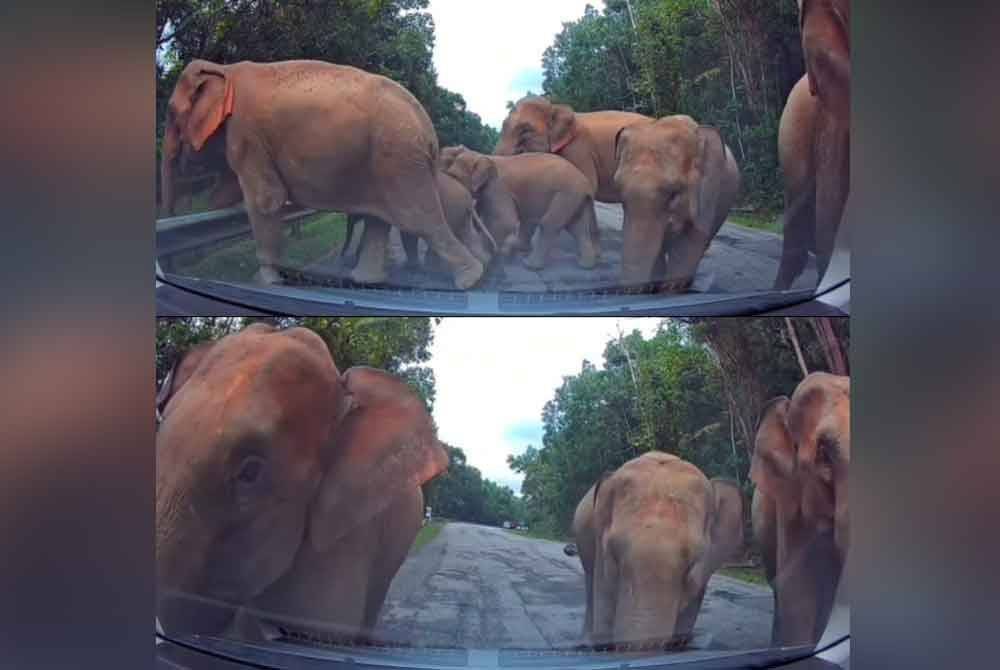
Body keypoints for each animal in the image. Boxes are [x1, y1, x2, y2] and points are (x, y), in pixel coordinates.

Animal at [160, 59, 485, 289]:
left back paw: (471, 280)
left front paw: (264, 281)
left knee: (418, 219)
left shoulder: (246, 132)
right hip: (385, 161)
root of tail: (428, 128)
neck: (224, 70)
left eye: (171, 113)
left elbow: (267, 199)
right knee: (382, 220)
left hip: (397, 157)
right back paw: (366, 280)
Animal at [439, 146, 600, 270]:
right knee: (577, 228)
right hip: (575, 198)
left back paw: (529, 265)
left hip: (566, 194)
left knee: (549, 224)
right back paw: (585, 265)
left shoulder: (498, 188)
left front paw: (490, 255)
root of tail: (587, 185)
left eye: (454, 176)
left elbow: (505, 221)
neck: (484, 157)